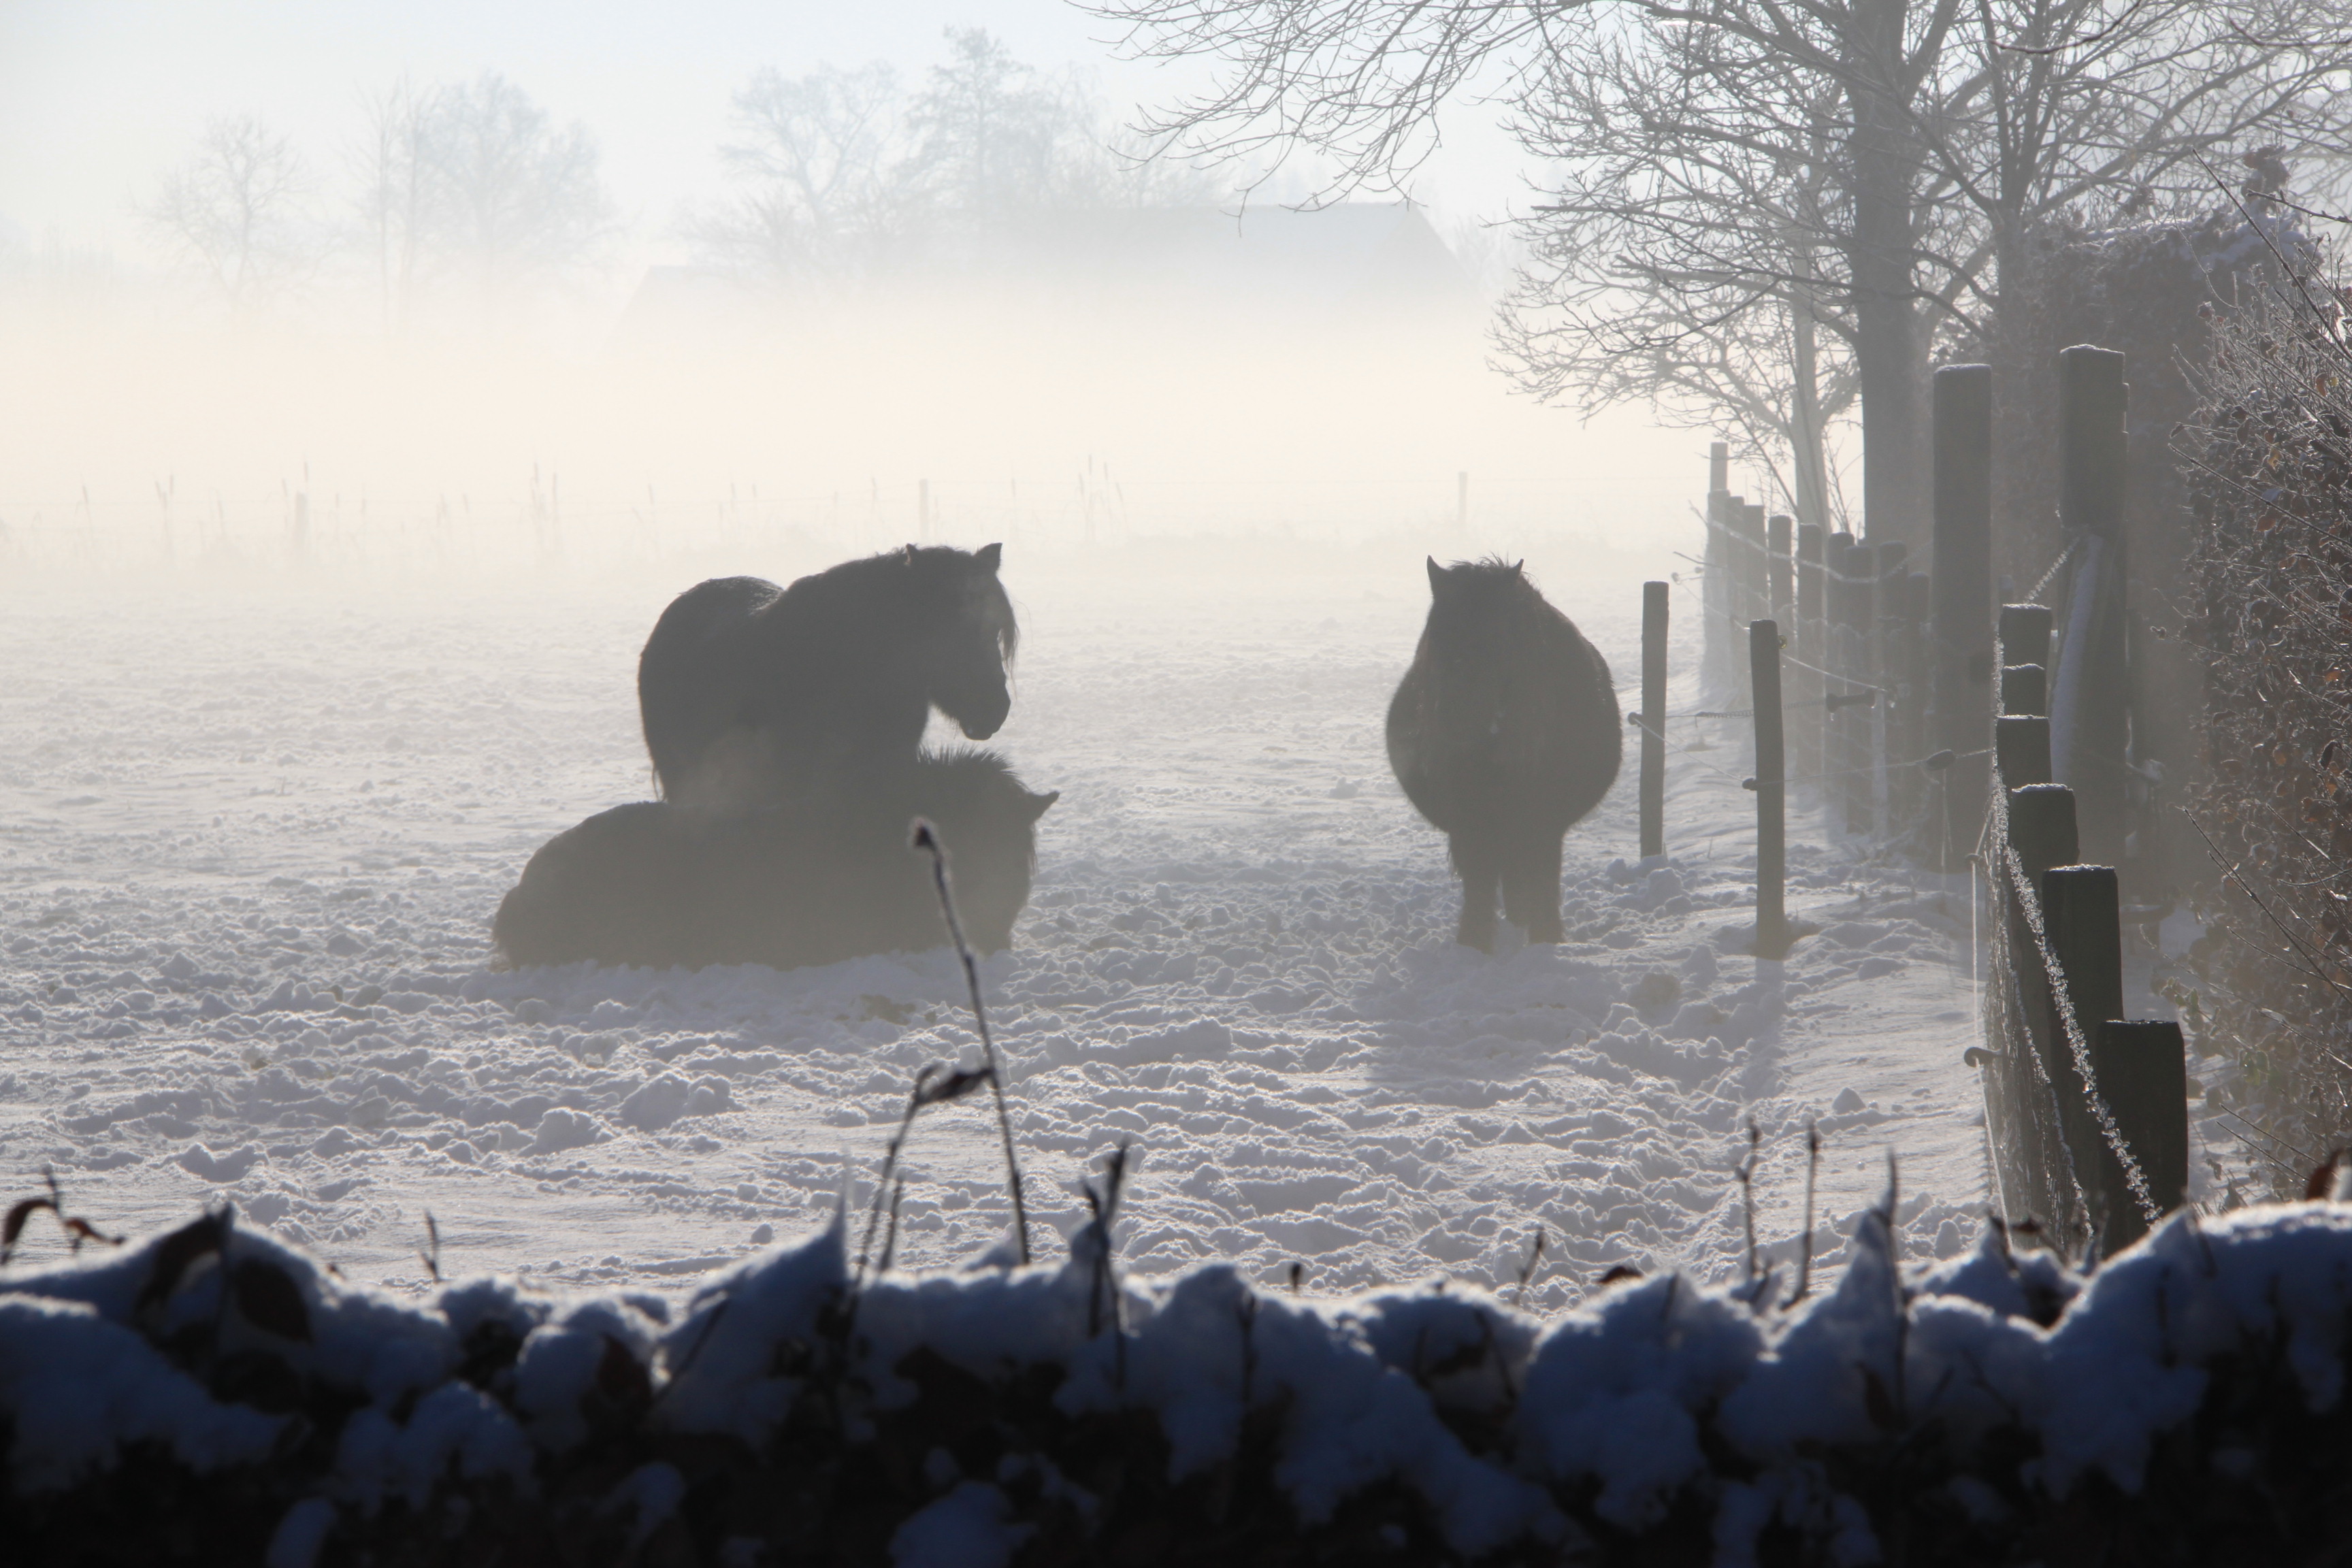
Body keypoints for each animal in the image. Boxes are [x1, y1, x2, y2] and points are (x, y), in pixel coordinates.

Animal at [1387, 557, 1622, 951]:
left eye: (1497, 638)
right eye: (1435, 636)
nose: (1454, 720)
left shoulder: (1543, 820)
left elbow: (1541, 878)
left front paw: (1546, 940)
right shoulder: (1469, 817)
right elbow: (1479, 882)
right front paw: (1474, 944)